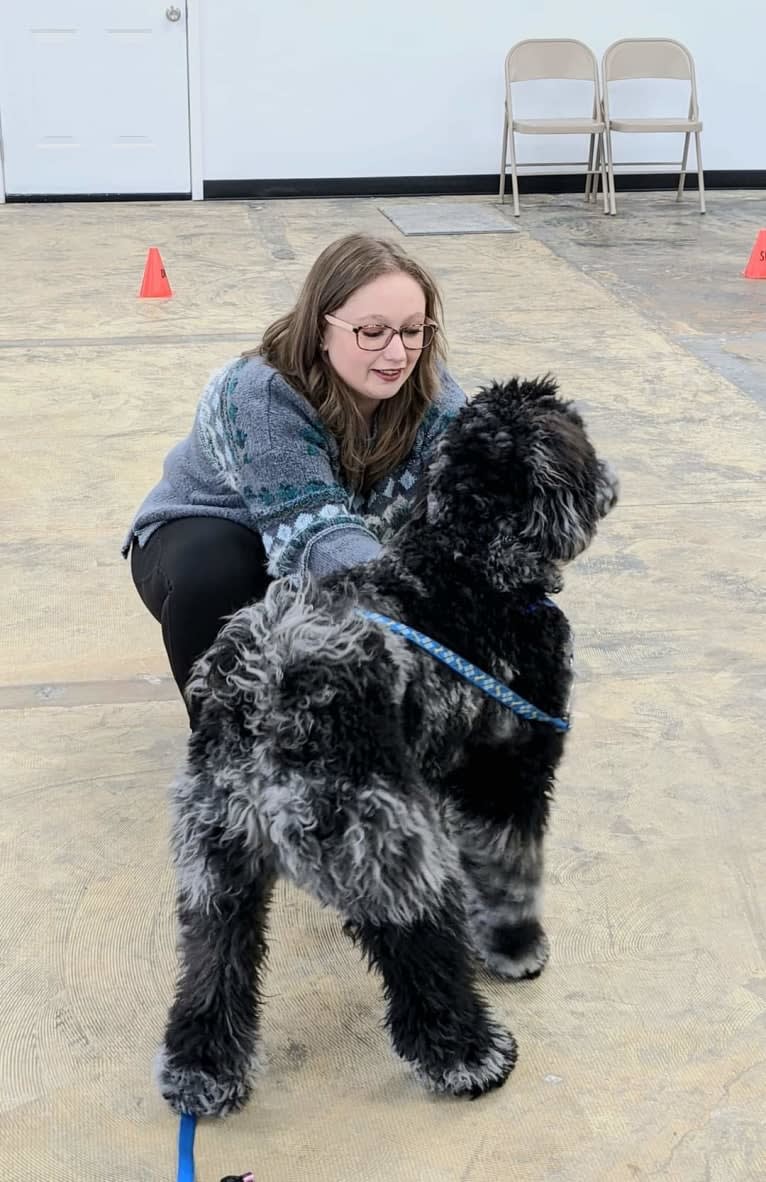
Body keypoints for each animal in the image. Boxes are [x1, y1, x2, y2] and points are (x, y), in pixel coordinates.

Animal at [153, 378, 614, 1115]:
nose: (607, 482)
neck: (467, 562)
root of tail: (262, 693)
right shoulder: (509, 771)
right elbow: (511, 873)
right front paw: (515, 948)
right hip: (382, 844)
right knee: (418, 949)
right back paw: (469, 1054)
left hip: (218, 862)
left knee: (213, 962)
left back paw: (202, 1070)